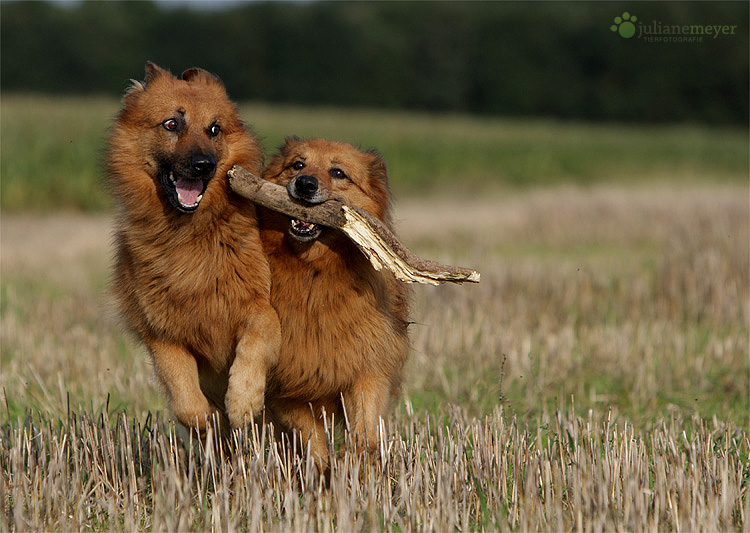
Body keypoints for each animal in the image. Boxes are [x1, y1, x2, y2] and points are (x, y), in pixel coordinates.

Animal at [108, 61, 280, 432]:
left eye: (214, 129)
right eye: (172, 124)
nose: (204, 165)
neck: (189, 235)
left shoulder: (261, 309)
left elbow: (255, 342)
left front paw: (243, 401)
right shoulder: (162, 335)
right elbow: (186, 400)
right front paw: (208, 418)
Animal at [258, 138, 412, 462]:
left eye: (338, 172)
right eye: (297, 165)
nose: (305, 184)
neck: (314, 273)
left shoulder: (367, 367)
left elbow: (364, 432)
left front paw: (356, 463)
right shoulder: (285, 386)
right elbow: (313, 442)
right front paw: (325, 469)